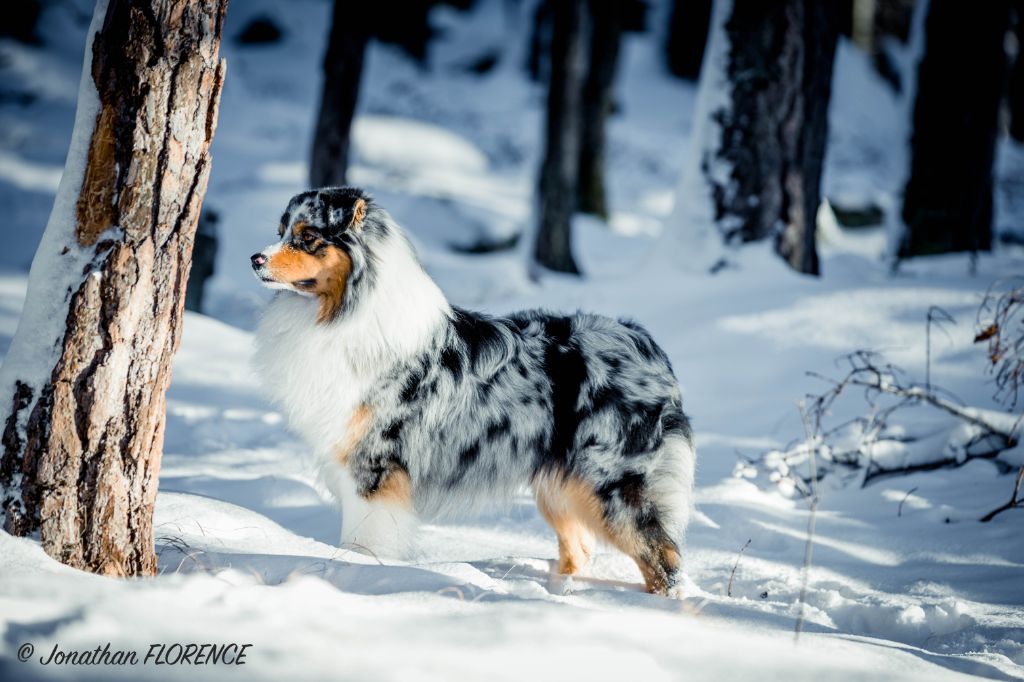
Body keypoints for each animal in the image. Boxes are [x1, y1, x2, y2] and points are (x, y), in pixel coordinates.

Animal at [249, 187, 696, 593]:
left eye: (308, 236)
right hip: (562, 487)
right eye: (281, 231)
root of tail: (644, 341)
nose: (255, 260)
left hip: (612, 483)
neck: (341, 312)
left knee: (664, 557)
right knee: (581, 548)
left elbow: (363, 542)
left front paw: (358, 573)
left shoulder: (375, 467)